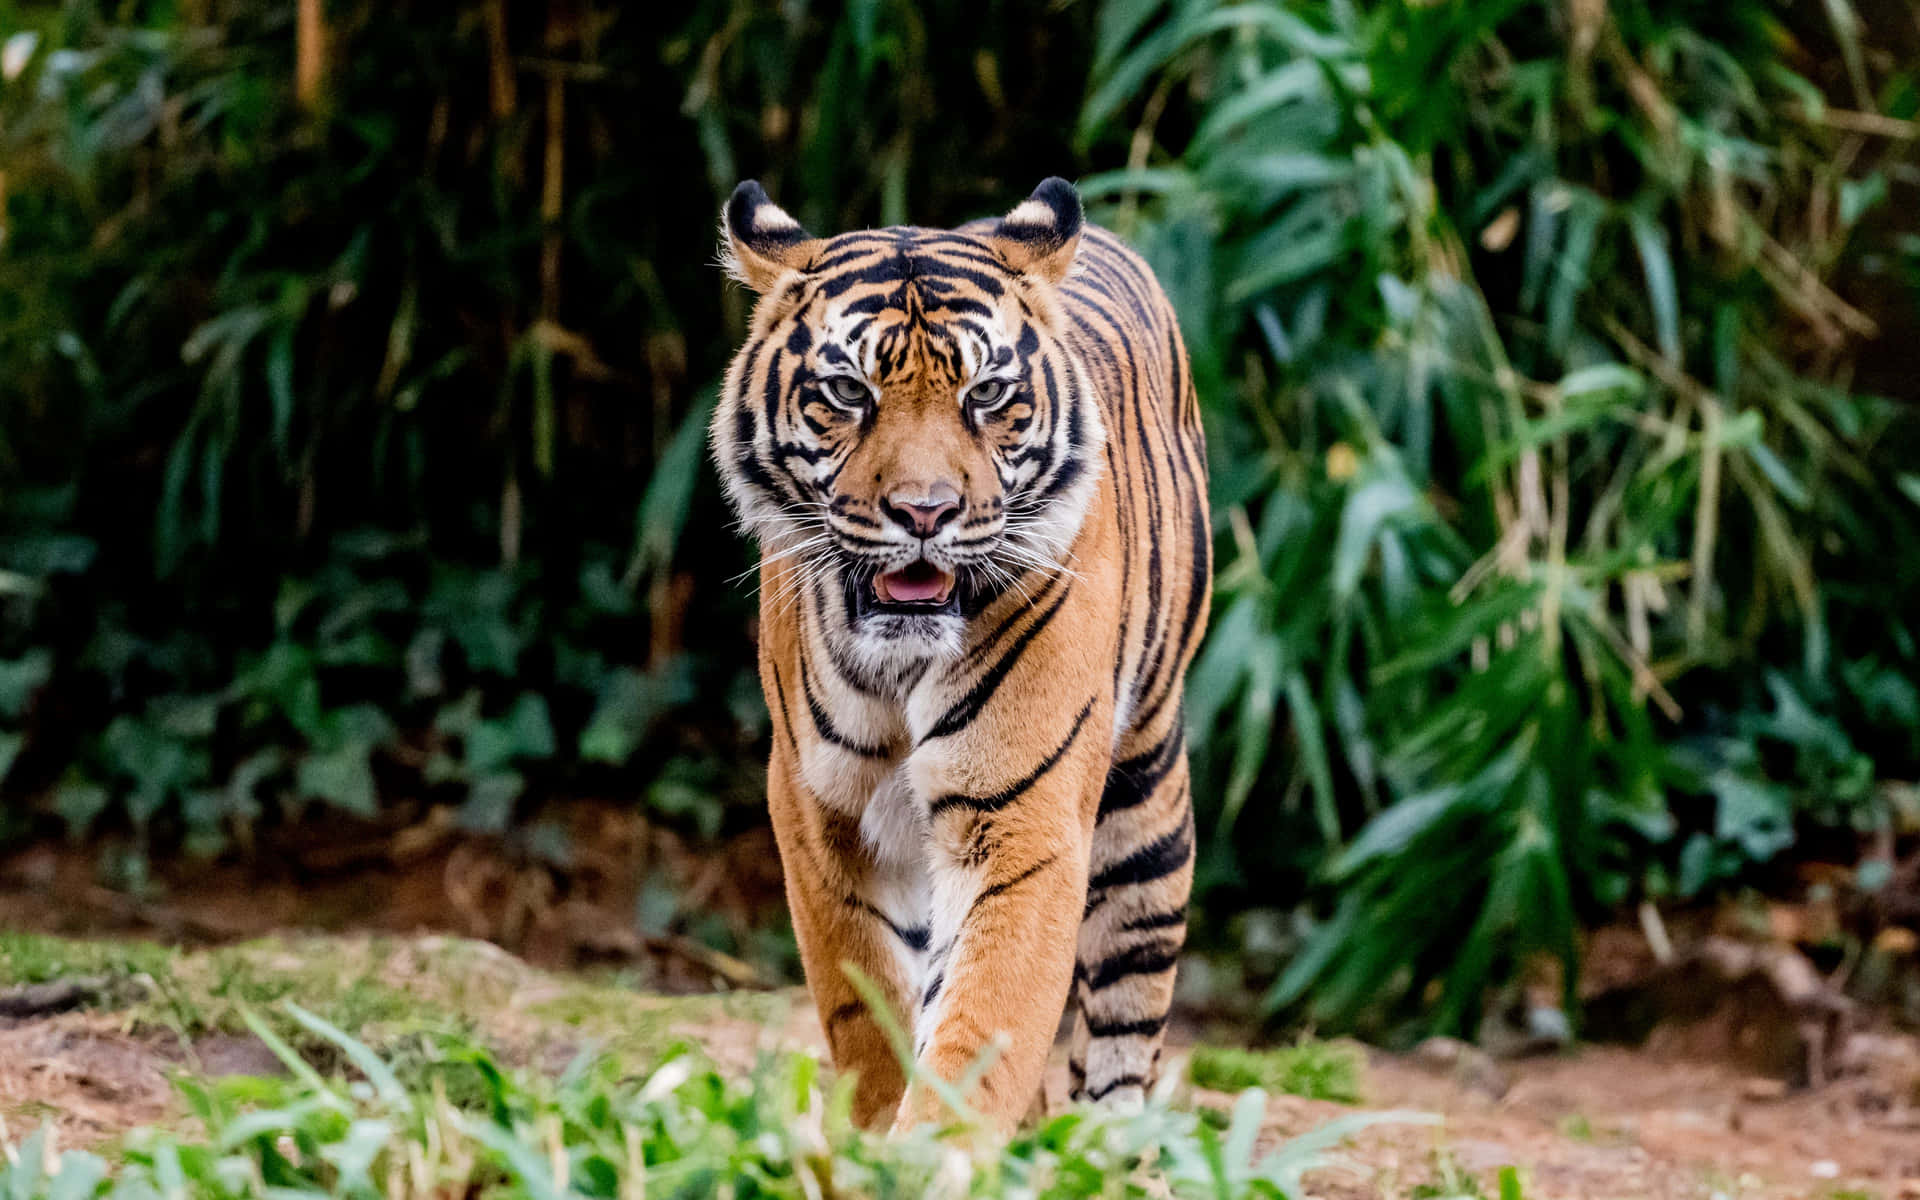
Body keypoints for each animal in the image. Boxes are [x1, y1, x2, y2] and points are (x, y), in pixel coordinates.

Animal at [710, 176, 1211, 1132]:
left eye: (986, 394)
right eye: (847, 390)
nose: (925, 511)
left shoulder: (1022, 824)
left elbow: (981, 1030)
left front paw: (930, 1148)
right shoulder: (818, 816)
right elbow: (868, 1010)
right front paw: (869, 1137)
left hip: (1147, 805)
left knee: (1126, 1017)